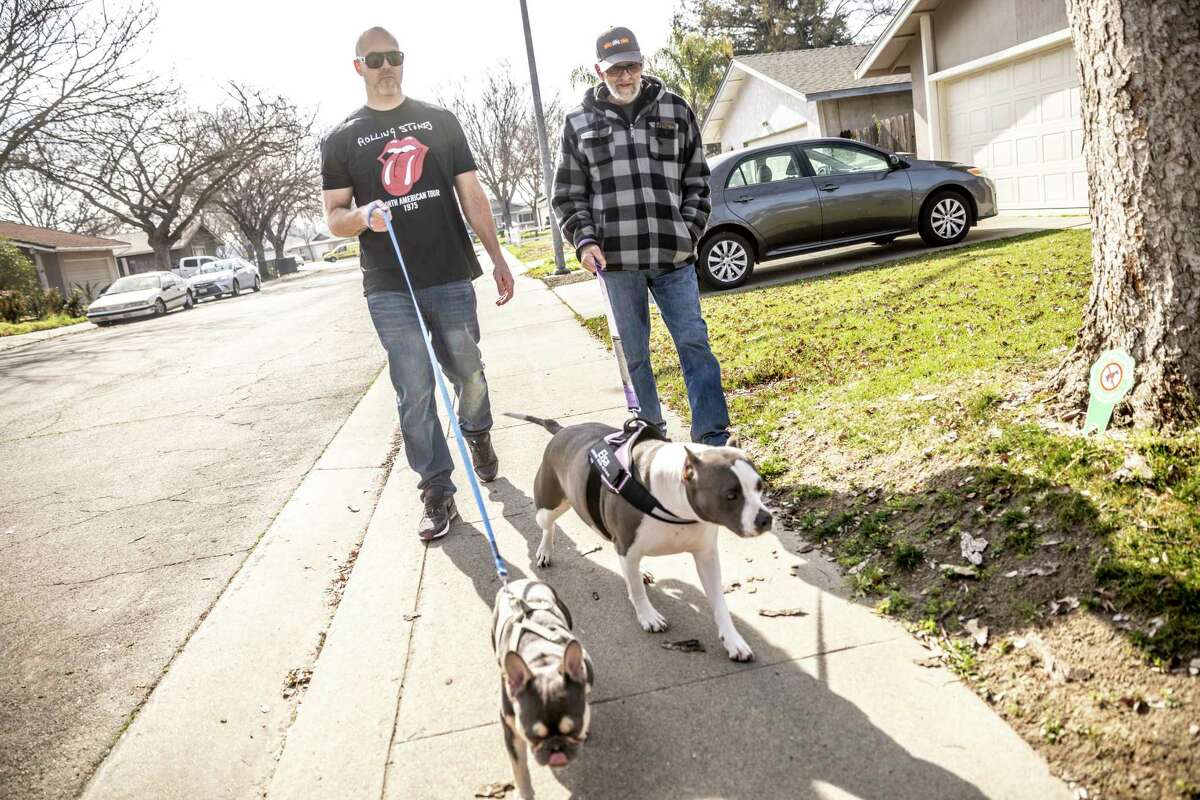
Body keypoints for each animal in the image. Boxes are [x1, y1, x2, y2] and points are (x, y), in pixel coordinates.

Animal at [492, 578, 595, 796]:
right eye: (532, 735)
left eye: (573, 729)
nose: (556, 748)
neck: (542, 660)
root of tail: (519, 582)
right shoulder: (511, 731)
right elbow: (519, 768)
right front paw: (525, 793)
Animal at [504, 417, 768, 662]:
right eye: (731, 495)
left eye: (760, 486)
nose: (766, 518)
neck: (674, 501)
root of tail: (561, 430)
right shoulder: (627, 547)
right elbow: (637, 592)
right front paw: (648, 616)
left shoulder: (706, 557)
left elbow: (720, 604)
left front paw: (733, 640)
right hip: (549, 506)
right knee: (548, 526)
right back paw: (545, 551)